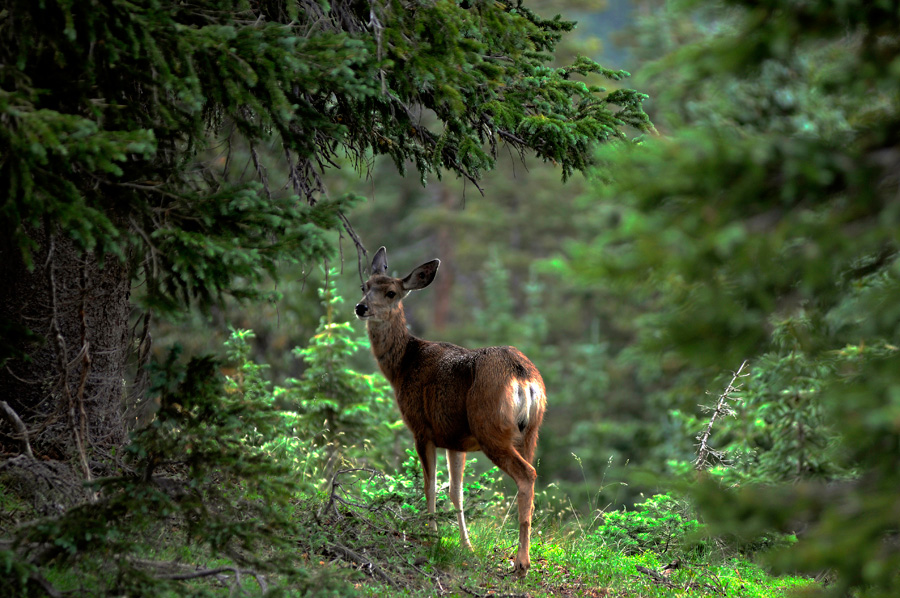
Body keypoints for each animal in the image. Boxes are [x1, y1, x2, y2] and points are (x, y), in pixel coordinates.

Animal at [356, 246, 544, 580]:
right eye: (365, 286)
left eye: (391, 293)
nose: (361, 307)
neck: (402, 366)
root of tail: (522, 376)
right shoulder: (456, 439)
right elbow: (456, 491)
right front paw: (466, 546)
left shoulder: (422, 429)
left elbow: (429, 486)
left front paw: (430, 538)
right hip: (530, 431)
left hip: (490, 427)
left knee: (527, 475)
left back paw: (521, 563)